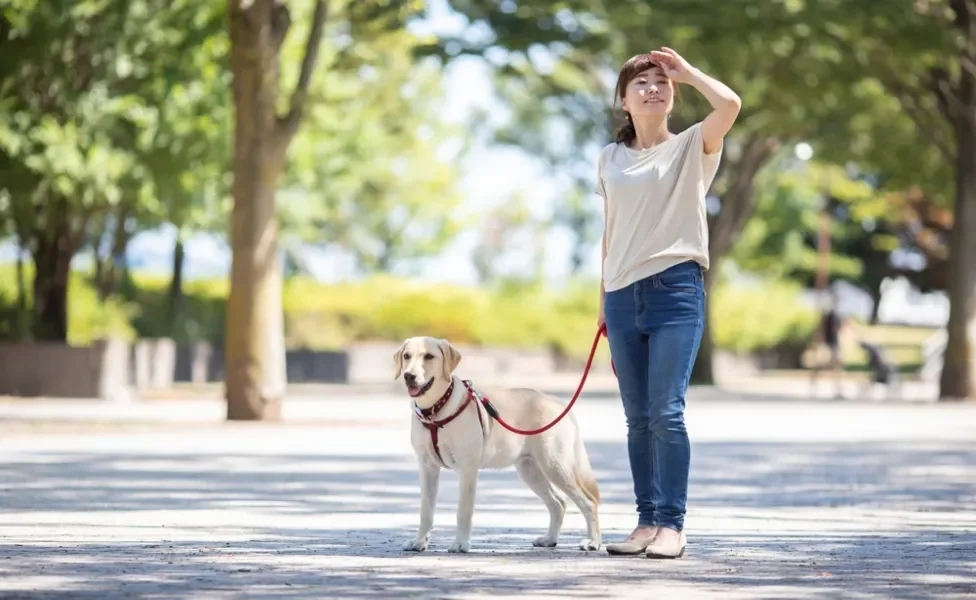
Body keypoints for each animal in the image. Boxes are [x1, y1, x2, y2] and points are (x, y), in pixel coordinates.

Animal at [396, 336, 604, 556]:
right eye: (406, 356)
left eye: (429, 356)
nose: (409, 376)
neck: (435, 412)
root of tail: (555, 401)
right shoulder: (427, 467)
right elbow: (425, 510)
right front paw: (419, 542)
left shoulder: (467, 469)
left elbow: (463, 510)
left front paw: (460, 544)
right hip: (530, 470)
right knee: (558, 503)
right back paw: (549, 539)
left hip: (556, 465)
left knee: (588, 501)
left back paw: (593, 542)